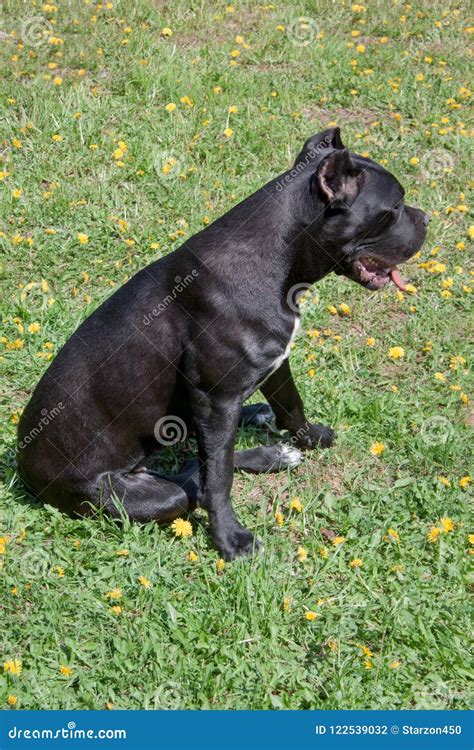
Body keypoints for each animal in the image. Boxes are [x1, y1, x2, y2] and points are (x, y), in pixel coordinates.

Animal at [18, 129, 428, 560]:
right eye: (395, 207)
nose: (426, 218)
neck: (281, 261)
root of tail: (23, 463)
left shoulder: (275, 364)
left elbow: (291, 407)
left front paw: (311, 438)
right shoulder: (215, 399)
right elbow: (218, 480)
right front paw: (230, 539)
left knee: (199, 468)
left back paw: (269, 443)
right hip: (136, 492)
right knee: (193, 483)